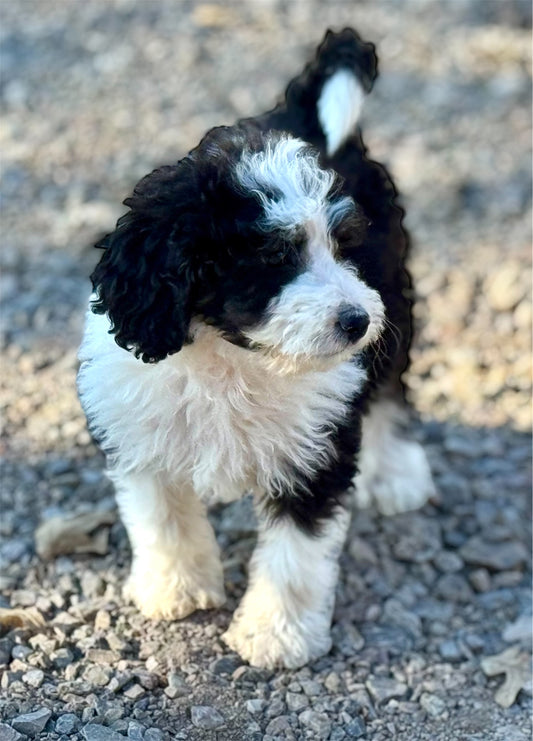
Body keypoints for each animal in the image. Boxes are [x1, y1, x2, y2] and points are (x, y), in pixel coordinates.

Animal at [77, 28, 434, 668]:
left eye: (344, 247)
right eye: (274, 257)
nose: (356, 321)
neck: (233, 358)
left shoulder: (315, 453)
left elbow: (295, 556)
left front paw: (275, 634)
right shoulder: (139, 437)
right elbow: (163, 522)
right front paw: (177, 589)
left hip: (395, 300)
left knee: (389, 387)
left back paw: (395, 473)